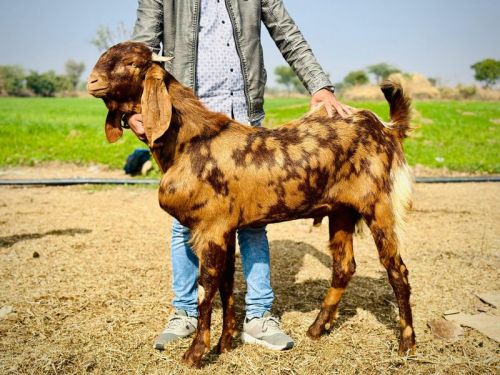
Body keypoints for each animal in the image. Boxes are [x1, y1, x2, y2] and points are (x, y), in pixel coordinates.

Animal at [88, 42, 416, 368]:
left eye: (132, 63)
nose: (92, 81)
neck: (189, 140)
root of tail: (385, 127)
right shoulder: (226, 228)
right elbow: (226, 286)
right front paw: (224, 344)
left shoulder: (211, 228)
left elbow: (205, 291)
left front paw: (195, 354)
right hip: (341, 211)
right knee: (344, 266)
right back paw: (316, 328)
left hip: (378, 205)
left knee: (397, 270)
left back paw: (407, 344)